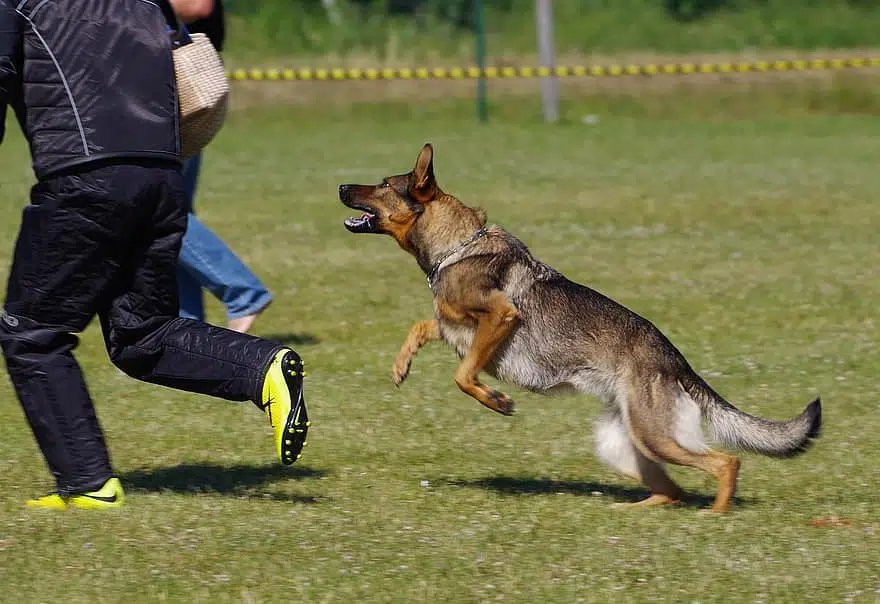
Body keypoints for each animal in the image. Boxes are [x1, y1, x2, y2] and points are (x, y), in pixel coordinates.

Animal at [340, 144, 820, 512]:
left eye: (383, 184)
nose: (341, 186)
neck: (455, 247)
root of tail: (676, 361)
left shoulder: (500, 316)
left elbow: (463, 375)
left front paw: (496, 401)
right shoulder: (455, 326)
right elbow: (422, 326)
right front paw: (401, 366)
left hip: (655, 436)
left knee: (725, 464)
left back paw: (716, 516)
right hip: (625, 443)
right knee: (672, 491)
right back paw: (631, 512)